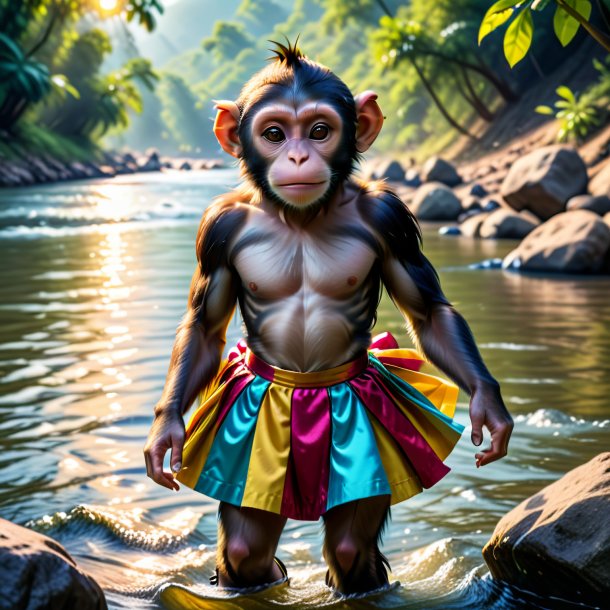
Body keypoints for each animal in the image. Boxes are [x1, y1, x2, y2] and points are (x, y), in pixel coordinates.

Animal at [144, 41, 512, 592]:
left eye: (320, 130)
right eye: (274, 134)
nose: (298, 155)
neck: (300, 215)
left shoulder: (390, 217)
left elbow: (429, 312)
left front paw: (489, 406)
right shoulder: (218, 228)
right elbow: (205, 327)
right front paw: (165, 429)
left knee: (350, 545)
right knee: (247, 547)